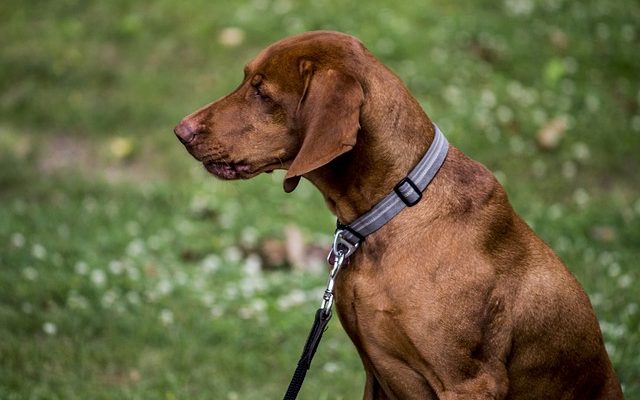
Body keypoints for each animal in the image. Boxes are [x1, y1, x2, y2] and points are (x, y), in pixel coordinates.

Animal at [174, 30, 620, 396]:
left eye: (262, 93)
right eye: (246, 78)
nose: (181, 131)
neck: (393, 210)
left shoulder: (471, 383)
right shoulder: (376, 373)